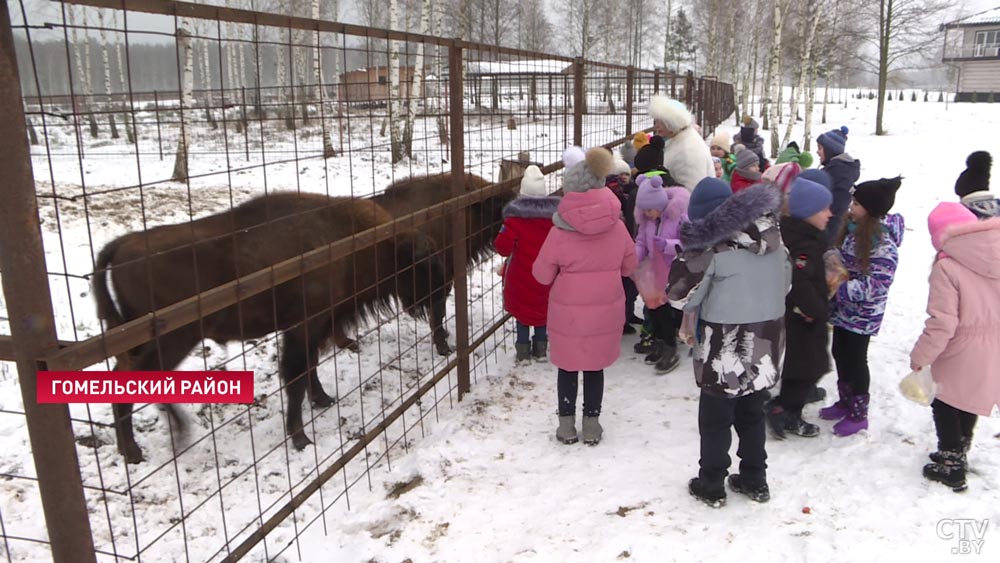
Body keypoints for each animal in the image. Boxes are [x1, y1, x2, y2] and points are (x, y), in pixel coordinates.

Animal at [93, 192, 446, 464]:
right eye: (424, 265)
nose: (441, 296)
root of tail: (123, 244)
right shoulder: (303, 327)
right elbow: (295, 378)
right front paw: (301, 439)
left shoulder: (314, 326)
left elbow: (309, 369)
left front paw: (323, 400)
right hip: (175, 337)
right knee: (136, 377)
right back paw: (153, 444)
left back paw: (134, 447)